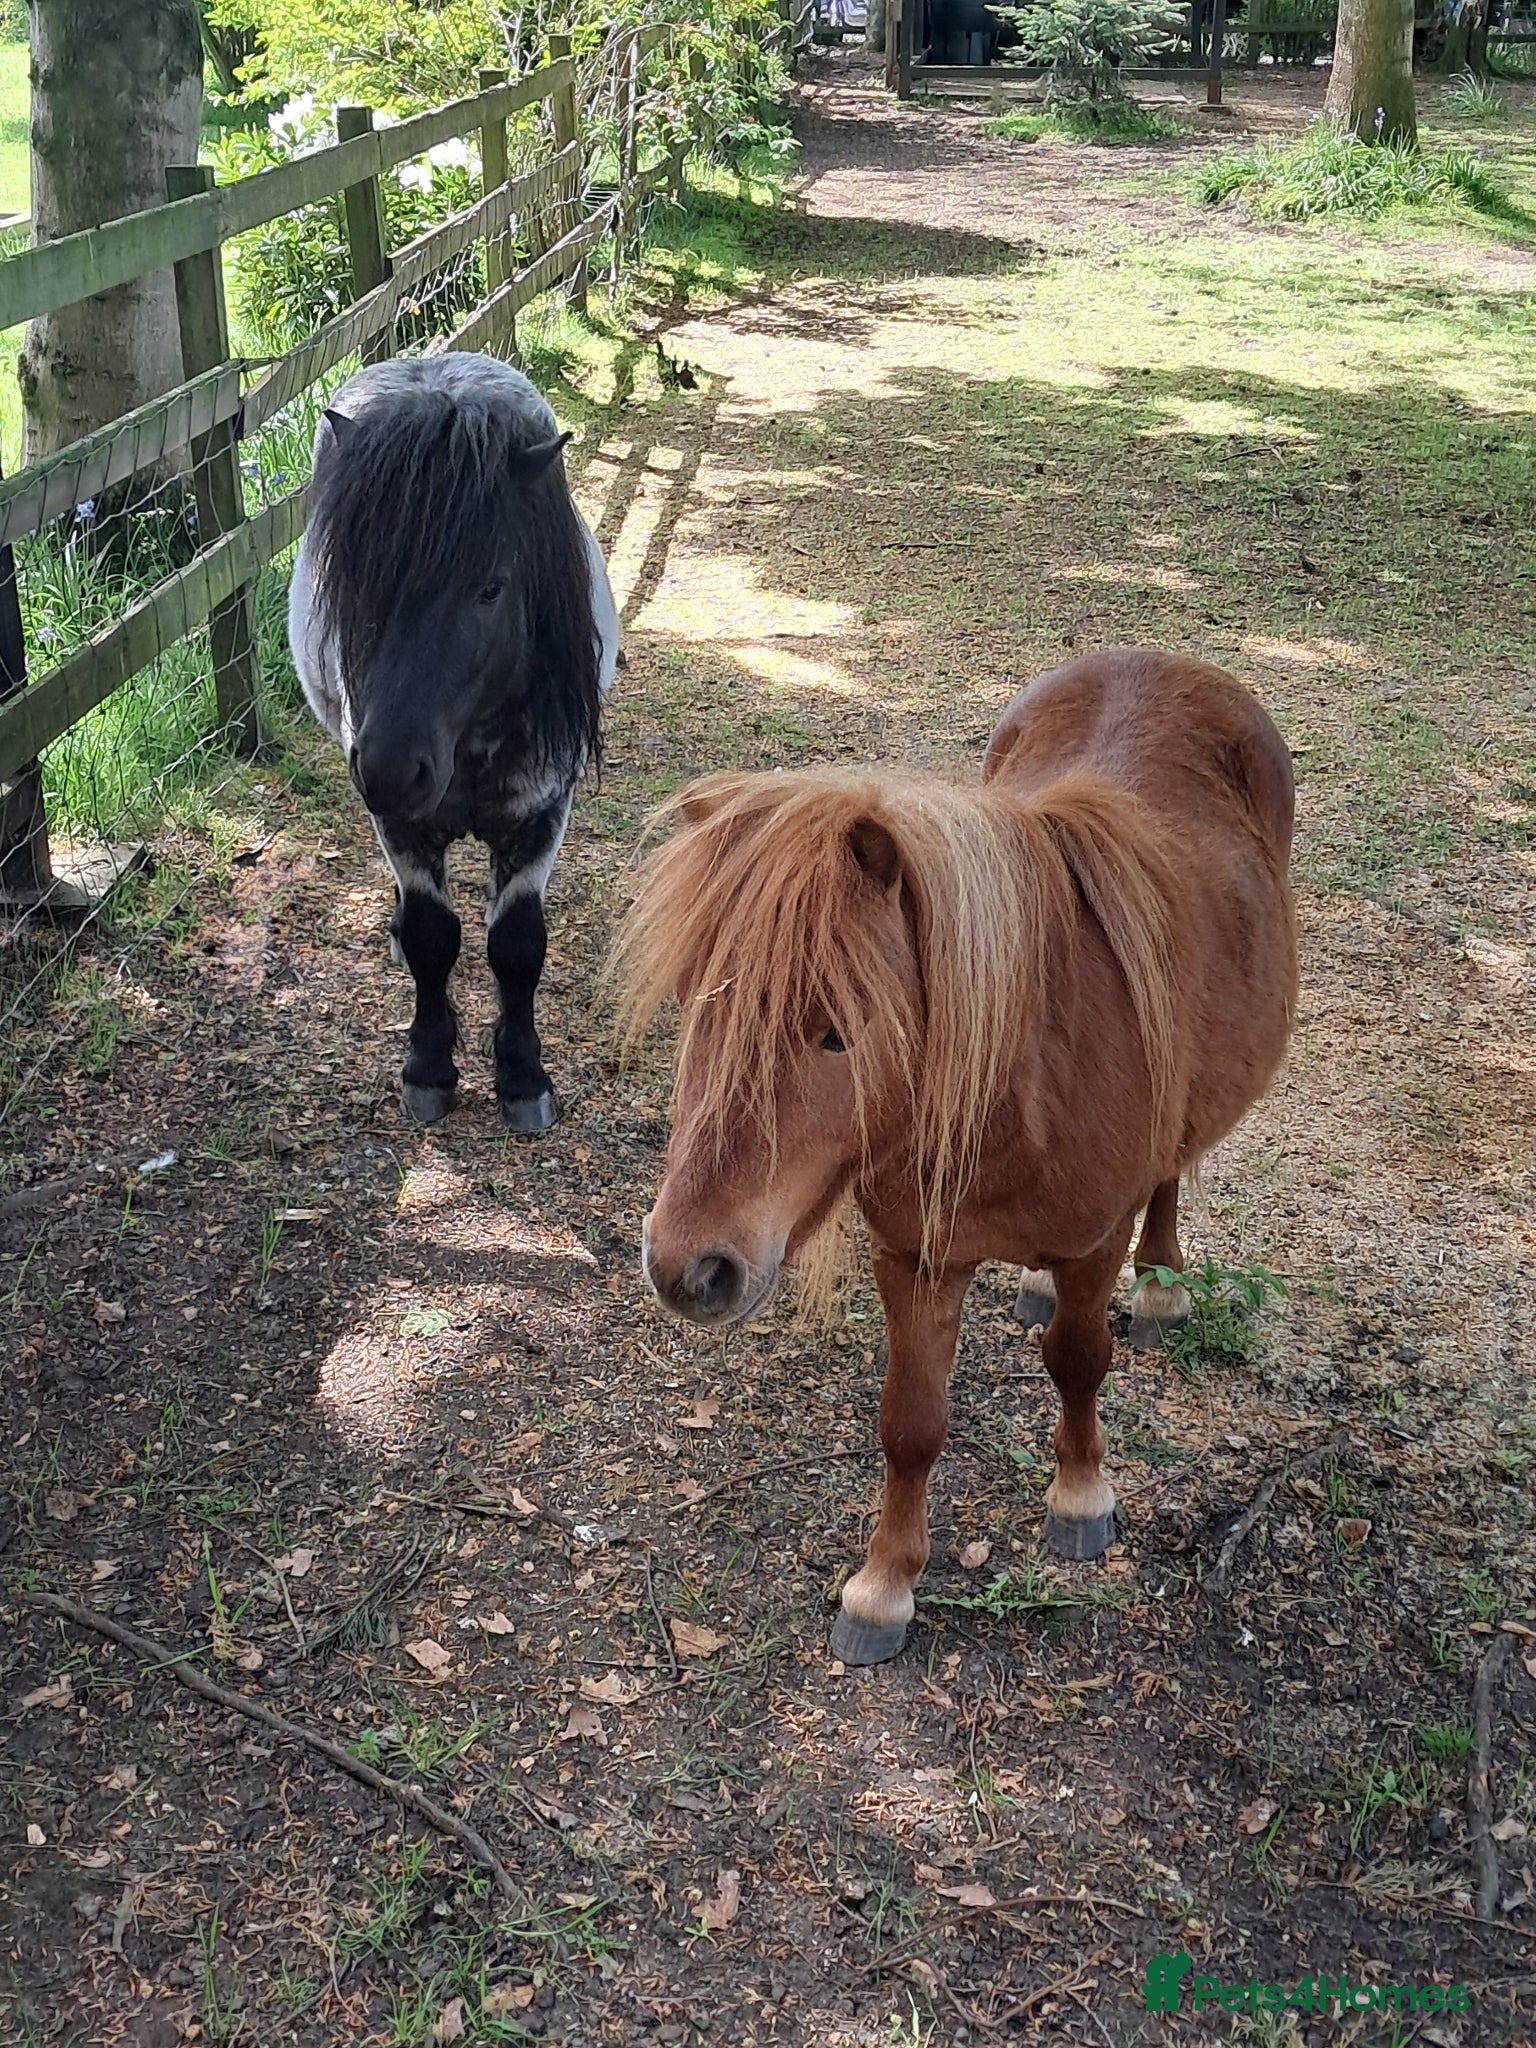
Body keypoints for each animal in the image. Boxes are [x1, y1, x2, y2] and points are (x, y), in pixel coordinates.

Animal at [288, 354, 620, 1132]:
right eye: (352, 577)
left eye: (491, 589)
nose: (388, 768)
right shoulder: (402, 826)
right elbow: (431, 938)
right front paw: (430, 1069)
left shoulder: (540, 815)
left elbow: (517, 943)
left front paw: (523, 1078)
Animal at [617, 648, 1296, 1665]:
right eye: (700, 1001)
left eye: (838, 1029)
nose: (687, 1268)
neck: (1023, 1082)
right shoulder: (915, 1255)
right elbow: (910, 1422)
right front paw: (883, 1586)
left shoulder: (1095, 1241)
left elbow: (1079, 1361)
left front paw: (1080, 1498)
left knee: (1170, 1179)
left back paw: (1162, 1286)